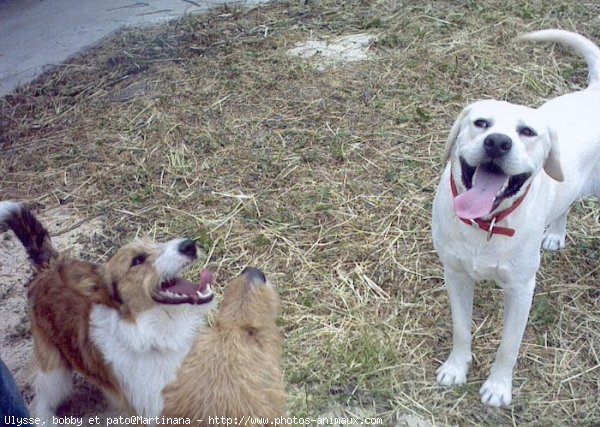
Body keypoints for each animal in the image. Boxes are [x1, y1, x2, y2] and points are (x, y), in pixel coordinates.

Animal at [0, 202, 216, 426]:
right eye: (137, 260)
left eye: (157, 242)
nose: (189, 245)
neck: (153, 333)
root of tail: (48, 267)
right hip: (55, 373)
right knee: (41, 399)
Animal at [434, 30, 600, 408]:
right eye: (480, 123)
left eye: (527, 132)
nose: (497, 142)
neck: (486, 224)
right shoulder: (456, 274)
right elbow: (461, 329)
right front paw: (456, 368)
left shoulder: (522, 289)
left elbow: (508, 347)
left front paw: (498, 387)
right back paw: (555, 233)